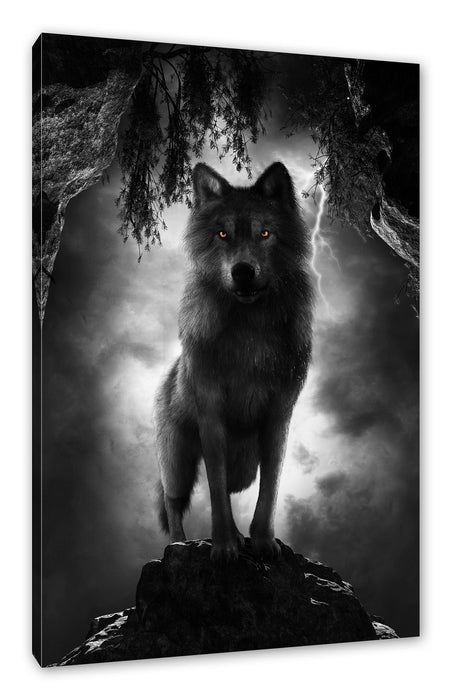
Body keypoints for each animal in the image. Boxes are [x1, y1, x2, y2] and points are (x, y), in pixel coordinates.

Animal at [155, 161, 313, 562]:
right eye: (223, 234)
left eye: (265, 233)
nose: (243, 271)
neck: (250, 330)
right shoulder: (211, 417)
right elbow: (214, 491)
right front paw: (224, 546)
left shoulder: (278, 417)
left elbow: (269, 491)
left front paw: (263, 543)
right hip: (177, 462)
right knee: (173, 501)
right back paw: (177, 544)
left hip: (244, 464)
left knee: (228, 488)